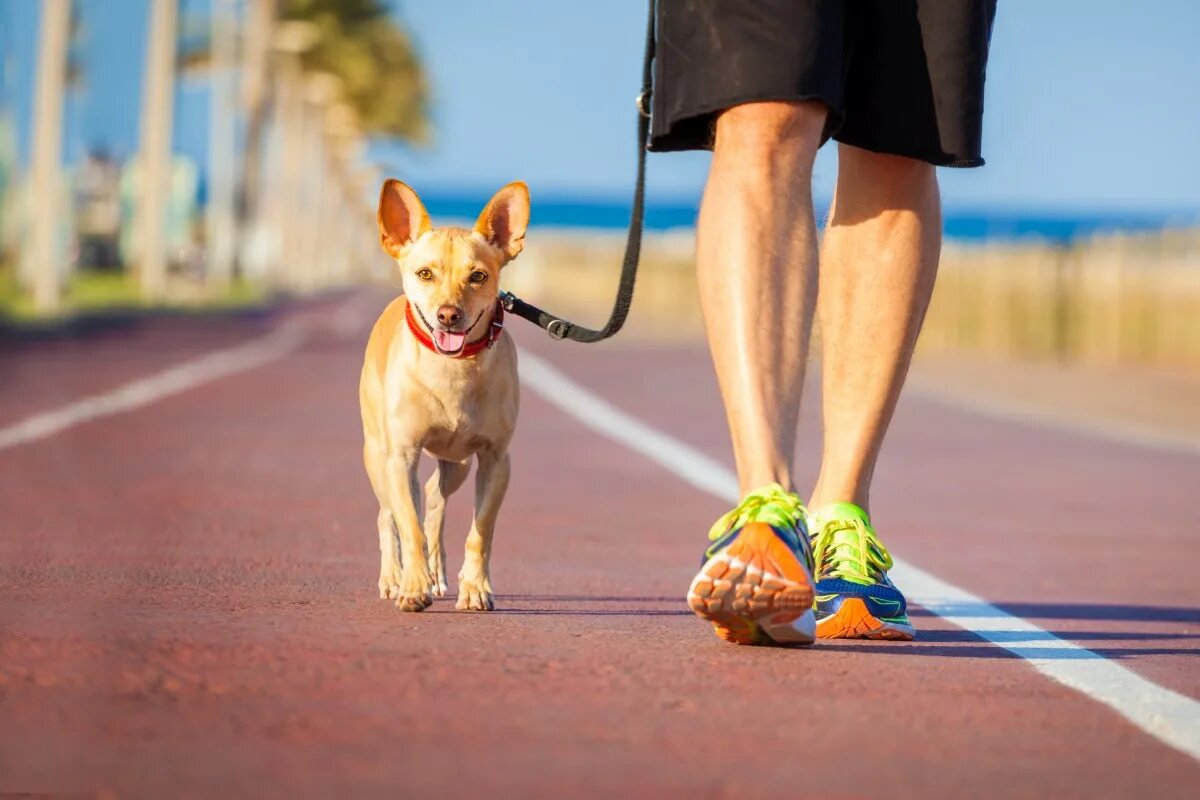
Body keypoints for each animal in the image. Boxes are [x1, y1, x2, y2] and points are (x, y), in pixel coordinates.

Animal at [355, 179, 525, 614]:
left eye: (478, 275)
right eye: (425, 273)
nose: (448, 314)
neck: (452, 370)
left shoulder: (496, 461)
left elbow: (480, 532)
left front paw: (475, 588)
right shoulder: (401, 457)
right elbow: (408, 527)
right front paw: (412, 588)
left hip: (458, 464)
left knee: (433, 499)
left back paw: (438, 572)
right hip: (378, 455)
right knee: (389, 515)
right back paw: (394, 578)